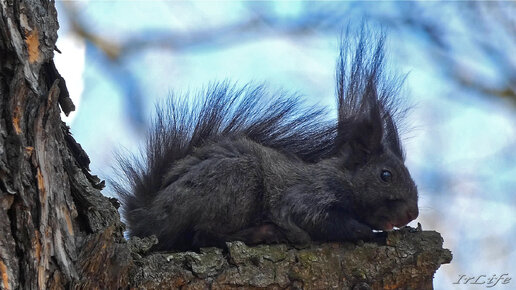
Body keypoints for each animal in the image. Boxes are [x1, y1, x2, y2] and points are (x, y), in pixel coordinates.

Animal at [114, 30, 420, 250]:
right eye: (385, 175)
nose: (412, 214)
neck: (338, 178)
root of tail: (147, 217)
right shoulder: (305, 198)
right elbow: (321, 220)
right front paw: (366, 231)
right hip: (235, 181)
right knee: (204, 235)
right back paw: (264, 233)